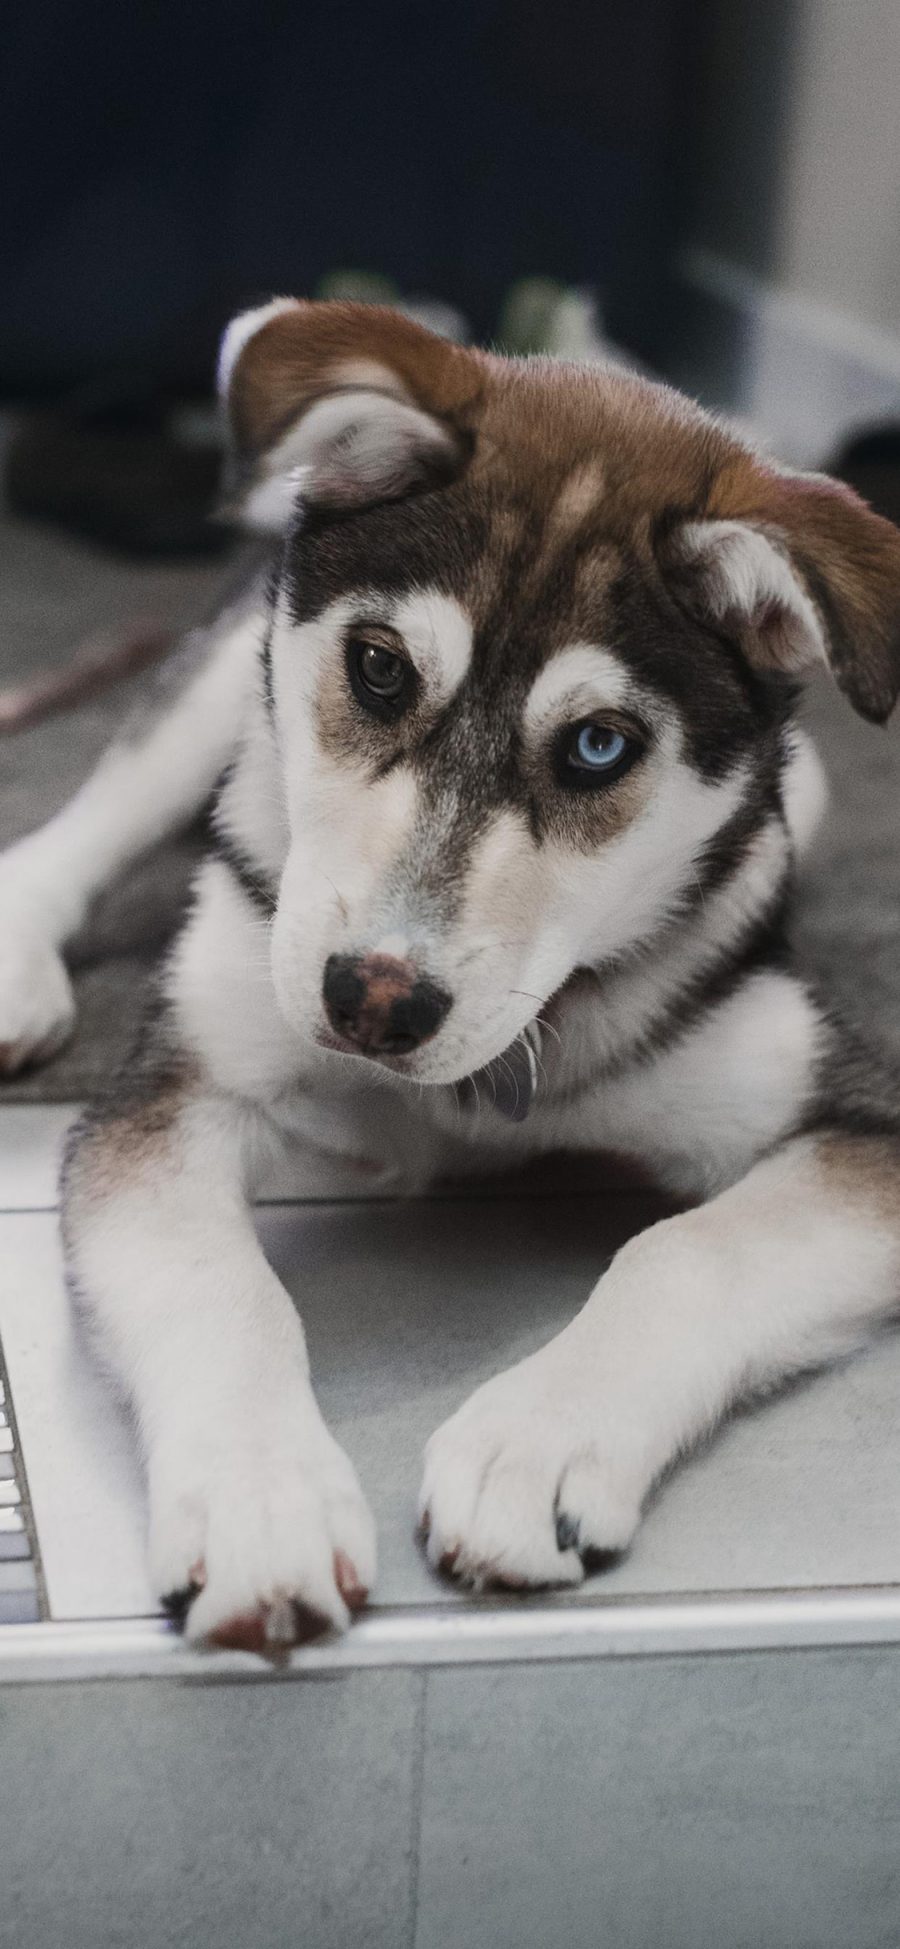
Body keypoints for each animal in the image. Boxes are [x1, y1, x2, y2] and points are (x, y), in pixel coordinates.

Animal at [1, 300, 900, 1644]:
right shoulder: (177, 1091)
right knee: (102, 806)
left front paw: (539, 1444)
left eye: (599, 746)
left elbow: (689, 1249)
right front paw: (261, 1498)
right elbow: (216, 1280)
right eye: (379, 667)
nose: (374, 1000)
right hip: (226, 679)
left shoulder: (843, 1106)